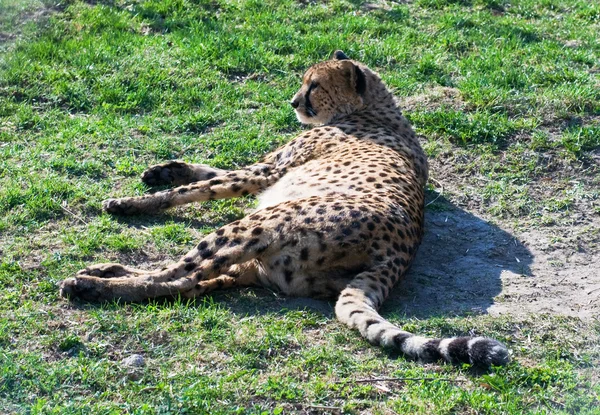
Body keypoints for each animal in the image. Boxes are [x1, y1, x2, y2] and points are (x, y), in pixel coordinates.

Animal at [61, 51, 508, 368]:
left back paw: (92, 283)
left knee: (174, 277)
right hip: (264, 262)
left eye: (314, 86)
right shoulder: (269, 170)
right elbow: (212, 171)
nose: (293, 102)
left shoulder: (268, 172)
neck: (377, 109)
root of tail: (399, 250)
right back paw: (104, 274)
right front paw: (162, 170)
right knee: (189, 284)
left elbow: (201, 187)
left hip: (259, 224)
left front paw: (132, 202)